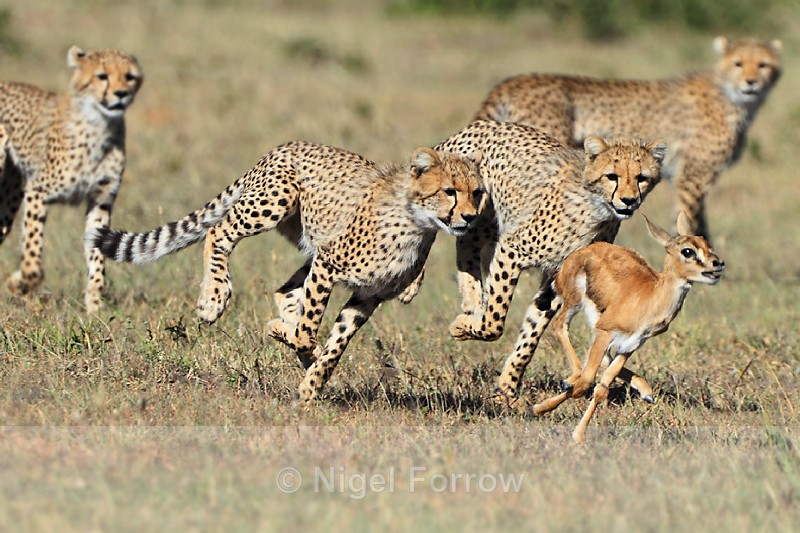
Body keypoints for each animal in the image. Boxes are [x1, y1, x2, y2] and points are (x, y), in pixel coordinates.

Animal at [0, 45, 143, 314]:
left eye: (129, 76)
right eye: (102, 76)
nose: (121, 94)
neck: (99, 125)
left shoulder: (100, 200)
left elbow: (97, 255)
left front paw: (94, 305)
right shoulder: (37, 191)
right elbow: (33, 251)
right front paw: (19, 282)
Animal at [92, 141, 484, 404]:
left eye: (477, 193)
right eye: (449, 191)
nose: (469, 218)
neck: (418, 224)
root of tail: (286, 145)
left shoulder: (367, 297)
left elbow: (336, 343)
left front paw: (311, 385)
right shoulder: (328, 263)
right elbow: (310, 326)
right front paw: (302, 347)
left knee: (283, 290)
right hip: (275, 203)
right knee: (218, 232)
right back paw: (214, 298)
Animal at [434, 120, 665, 405]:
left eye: (641, 178)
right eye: (612, 176)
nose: (629, 200)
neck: (596, 208)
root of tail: (484, 123)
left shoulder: (559, 277)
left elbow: (533, 330)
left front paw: (507, 387)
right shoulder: (512, 249)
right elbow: (496, 320)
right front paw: (465, 327)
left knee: (467, 248)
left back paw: (472, 304)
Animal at [474, 36, 781, 240]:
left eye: (763, 65)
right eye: (739, 64)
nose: (751, 82)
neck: (732, 97)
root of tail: (512, 81)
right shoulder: (692, 177)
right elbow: (694, 222)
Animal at [533, 212, 725, 444]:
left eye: (707, 244)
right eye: (687, 250)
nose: (718, 264)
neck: (649, 298)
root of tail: (580, 253)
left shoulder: (629, 346)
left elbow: (600, 389)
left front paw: (574, 431)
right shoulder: (606, 332)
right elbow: (586, 382)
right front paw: (559, 420)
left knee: (600, 360)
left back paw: (645, 391)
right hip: (574, 304)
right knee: (559, 326)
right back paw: (570, 379)